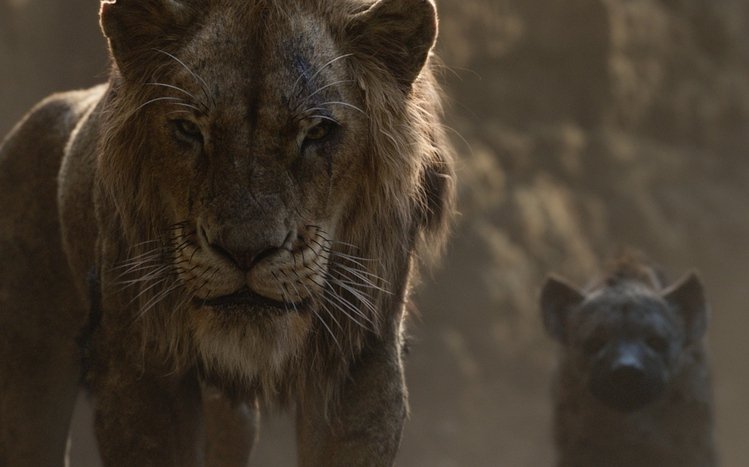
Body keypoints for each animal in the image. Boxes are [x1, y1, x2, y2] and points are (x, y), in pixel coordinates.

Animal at [0, 1, 455, 466]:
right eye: (188, 129)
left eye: (318, 132)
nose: (244, 252)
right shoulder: (140, 368)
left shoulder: (362, 359)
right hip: (27, 372)